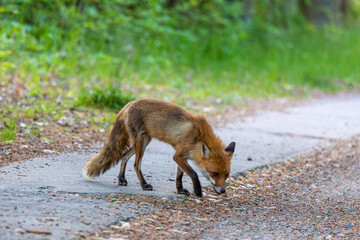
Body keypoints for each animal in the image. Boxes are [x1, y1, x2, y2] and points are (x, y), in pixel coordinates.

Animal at [82, 98, 235, 196]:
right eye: (215, 173)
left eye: (227, 175)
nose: (223, 191)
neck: (198, 137)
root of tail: (129, 104)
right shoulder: (178, 155)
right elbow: (193, 173)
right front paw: (197, 191)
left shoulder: (182, 157)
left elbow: (179, 176)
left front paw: (180, 190)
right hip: (141, 142)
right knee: (136, 165)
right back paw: (144, 185)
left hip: (143, 141)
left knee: (124, 155)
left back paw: (121, 179)